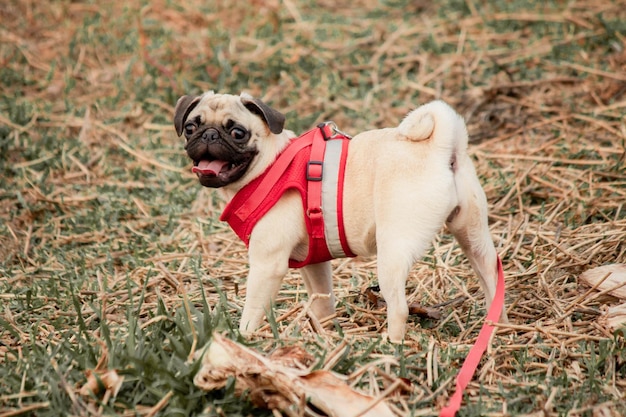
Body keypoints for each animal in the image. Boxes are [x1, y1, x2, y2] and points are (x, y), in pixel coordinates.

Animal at [172, 92, 502, 342]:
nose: (209, 135)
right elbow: (323, 302)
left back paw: (391, 348)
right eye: (190, 127)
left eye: (237, 133)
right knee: (492, 280)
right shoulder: (314, 265)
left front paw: (243, 341)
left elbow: (252, 310)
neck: (269, 165)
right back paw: (493, 332)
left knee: (399, 308)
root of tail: (441, 147)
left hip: (393, 252)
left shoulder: (267, 264)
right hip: (473, 236)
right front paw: (326, 336)